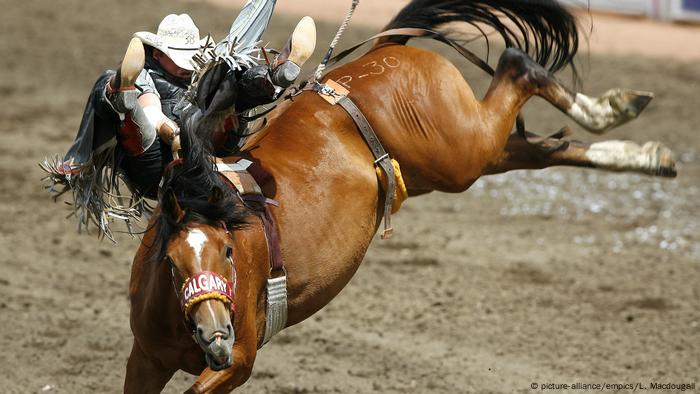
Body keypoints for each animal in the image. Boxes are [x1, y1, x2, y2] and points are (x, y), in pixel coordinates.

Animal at [126, 1, 680, 392]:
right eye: (172, 263)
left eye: (228, 250)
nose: (217, 336)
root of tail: (381, 53)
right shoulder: (145, 361)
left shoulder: (239, 363)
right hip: (466, 155)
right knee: (541, 146)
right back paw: (644, 146)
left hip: (460, 150)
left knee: (519, 66)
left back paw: (613, 110)